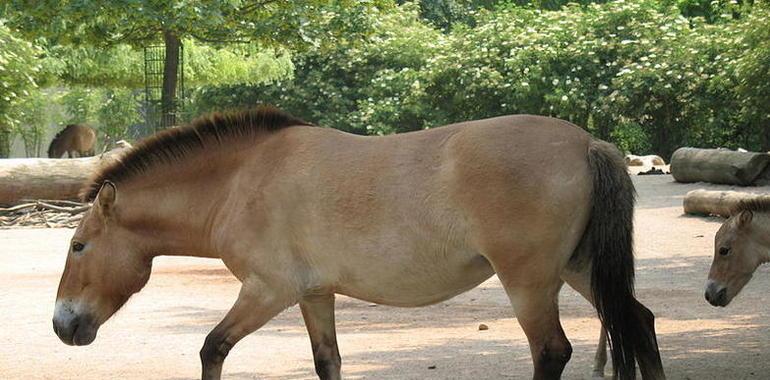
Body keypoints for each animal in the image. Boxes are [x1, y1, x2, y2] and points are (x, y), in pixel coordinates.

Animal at [54, 107, 664, 380]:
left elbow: (212, 348)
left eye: (78, 246)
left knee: (552, 351)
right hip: (579, 270)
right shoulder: (313, 294)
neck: (240, 179)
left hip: (531, 283)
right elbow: (328, 361)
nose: (64, 325)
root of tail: (588, 144)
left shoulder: (267, 291)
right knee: (638, 321)